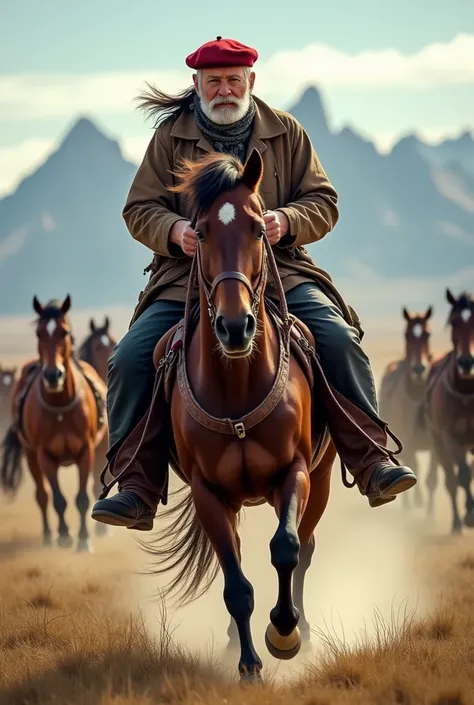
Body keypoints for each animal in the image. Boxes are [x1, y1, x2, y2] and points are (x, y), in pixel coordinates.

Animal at [0, 294, 109, 552]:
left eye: (64, 332)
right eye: (39, 333)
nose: (52, 375)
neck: (61, 404)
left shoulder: (88, 451)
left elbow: (83, 496)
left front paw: (84, 539)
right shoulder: (44, 455)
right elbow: (57, 498)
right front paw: (64, 535)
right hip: (31, 456)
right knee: (42, 495)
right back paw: (49, 536)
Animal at [143, 150, 338, 680]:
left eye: (256, 228)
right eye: (202, 231)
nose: (235, 327)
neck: (236, 388)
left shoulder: (295, 472)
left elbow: (286, 548)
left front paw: (284, 631)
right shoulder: (209, 494)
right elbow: (235, 585)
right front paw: (249, 661)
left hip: (323, 478)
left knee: (306, 548)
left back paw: (300, 626)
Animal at [378, 306, 436, 512]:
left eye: (427, 333)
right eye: (407, 334)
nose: (419, 369)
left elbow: (431, 477)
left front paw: (430, 512)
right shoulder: (408, 442)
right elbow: (415, 466)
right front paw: (414, 503)